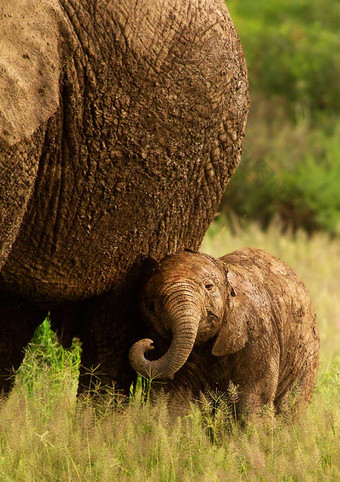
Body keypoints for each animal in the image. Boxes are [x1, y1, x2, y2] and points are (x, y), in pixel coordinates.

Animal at [129, 249, 320, 418]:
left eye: (208, 287)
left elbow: (254, 395)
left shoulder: (260, 331)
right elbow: (170, 394)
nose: (149, 344)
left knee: (291, 405)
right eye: (153, 303)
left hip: (307, 354)